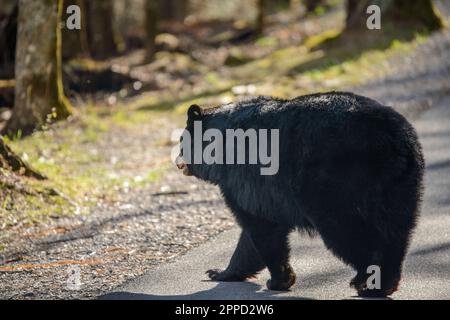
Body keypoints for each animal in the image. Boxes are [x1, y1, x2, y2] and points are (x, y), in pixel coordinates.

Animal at [177, 91, 426, 296]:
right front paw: (219, 272)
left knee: (349, 233)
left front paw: (279, 280)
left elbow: (261, 228)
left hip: (332, 186)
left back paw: (367, 283)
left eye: (181, 141)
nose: (177, 161)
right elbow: (252, 236)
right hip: (400, 185)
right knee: (396, 232)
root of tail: (390, 138)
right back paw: (383, 282)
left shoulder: (243, 178)